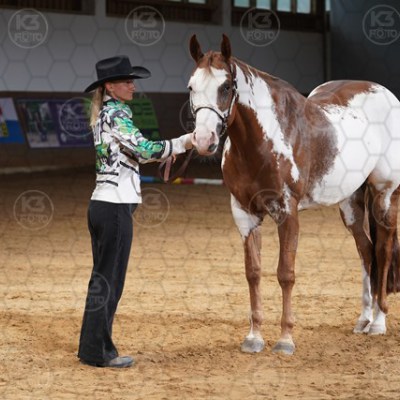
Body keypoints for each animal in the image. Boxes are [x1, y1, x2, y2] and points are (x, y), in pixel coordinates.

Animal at [187, 34, 400, 355]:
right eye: (191, 87)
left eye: (225, 87)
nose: (203, 140)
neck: (260, 142)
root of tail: (386, 94)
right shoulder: (244, 214)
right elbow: (253, 273)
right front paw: (254, 337)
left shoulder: (287, 212)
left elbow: (285, 273)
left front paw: (285, 339)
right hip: (350, 202)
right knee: (365, 251)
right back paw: (363, 319)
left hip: (384, 193)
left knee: (382, 251)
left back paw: (378, 322)